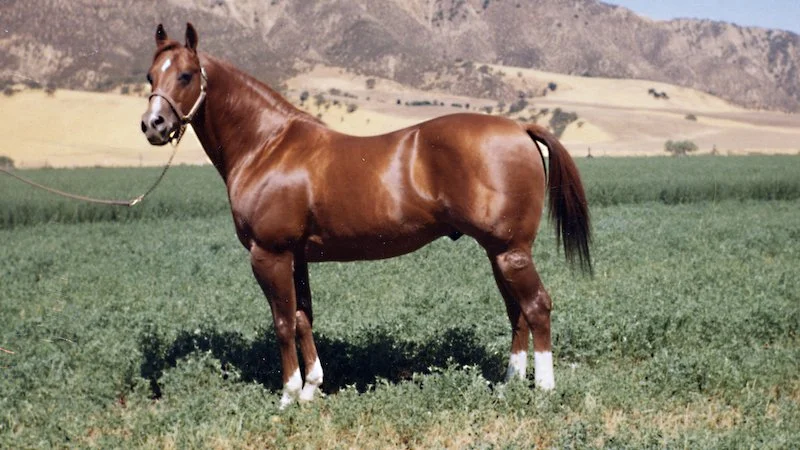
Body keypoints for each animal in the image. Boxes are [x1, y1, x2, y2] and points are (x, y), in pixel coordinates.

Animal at [140, 23, 591, 409]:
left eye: (186, 75)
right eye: (150, 76)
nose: (152, 125)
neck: (267, 146)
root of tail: (520, 128)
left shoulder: (270, 255)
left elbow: (283, 322)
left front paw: (288, 396)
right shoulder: (297, 257)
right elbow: (303, 318)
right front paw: (312, 389)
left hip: (511, 251)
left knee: (536, 306)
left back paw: (544, 391)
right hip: (499, 253)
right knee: (516, 311)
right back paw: (509, 385)